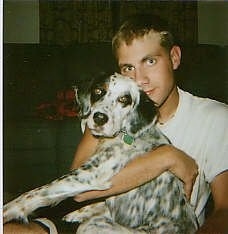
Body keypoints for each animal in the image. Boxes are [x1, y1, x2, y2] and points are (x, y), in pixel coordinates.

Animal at [2, 73, 197, 234]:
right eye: (98, 91)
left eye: (124, 99)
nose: (99, 118)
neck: (124, 135)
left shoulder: (90, 173)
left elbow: (33, 193)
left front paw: (7, 211)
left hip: (91, 226)